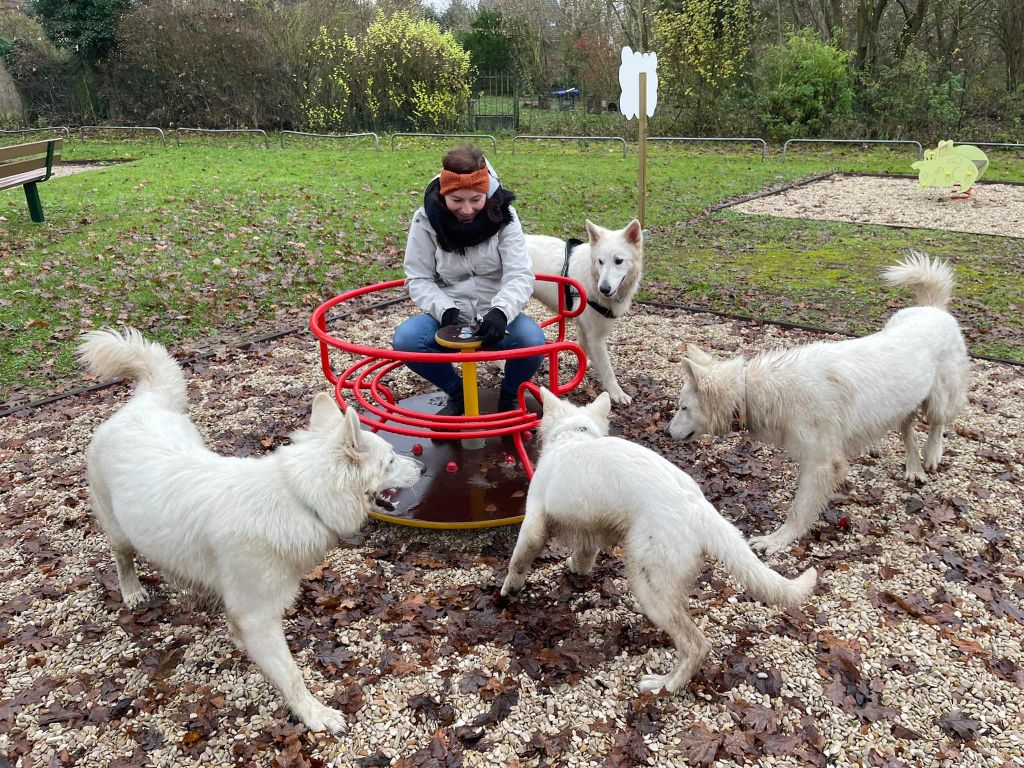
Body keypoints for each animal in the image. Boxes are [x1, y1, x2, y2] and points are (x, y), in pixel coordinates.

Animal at [74, 329, 419, 733]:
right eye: (390, 461)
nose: (420, 465)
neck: (298, 496)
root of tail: (143, 403)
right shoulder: (259, 616)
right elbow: (291, 675)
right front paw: (315, 714)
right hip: (117, 528)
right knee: (122, 557)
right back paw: (131, 591)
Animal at [501, 391, 815, 696]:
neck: (574, 436)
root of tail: (699, 509)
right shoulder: (588, 529)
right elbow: (584, 554)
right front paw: (576, 568)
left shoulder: (533, 520)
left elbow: (519, 560)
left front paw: (508, 589)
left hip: (649, 584)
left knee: (697, 645)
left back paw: (666, 685)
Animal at [528, 219, 638, 405]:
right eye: (600, 261)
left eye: (618, 261)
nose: (604, 289)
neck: (594, 278)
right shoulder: (596, 336)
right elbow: (607, 369)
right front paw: (617, 392)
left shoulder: (585, 327)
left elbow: (582, 347)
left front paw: (583, 363)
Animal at [663, 252, 966, 552]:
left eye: (683, 407)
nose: (665, 432)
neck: (751, 391)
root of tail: (932, 308)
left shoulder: (822, 463)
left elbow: (799, 508)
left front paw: (779, 539)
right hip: (902, 401)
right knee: (907, 430)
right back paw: (913, 467)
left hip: (937, 399)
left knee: (937, 423)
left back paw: (932, 454)